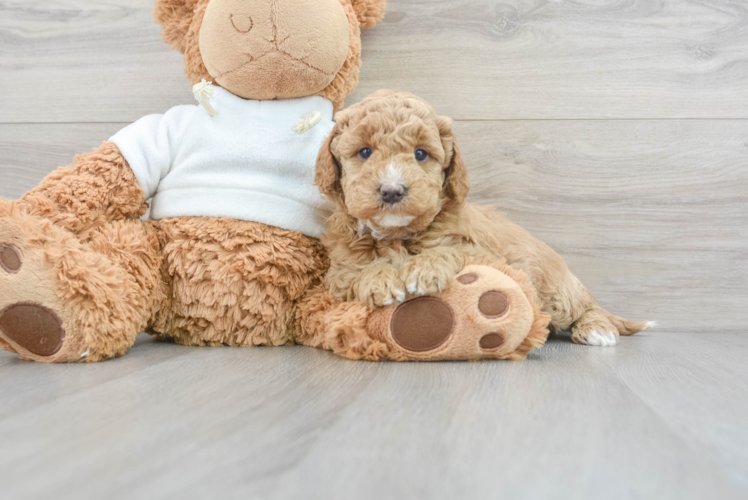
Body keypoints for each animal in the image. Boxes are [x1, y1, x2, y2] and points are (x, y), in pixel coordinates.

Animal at [312, 90, 652, 346]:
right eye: (364, 152)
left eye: (421, 154)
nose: (392, 191)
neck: (397, 235)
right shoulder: (339, 270)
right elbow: (356, 272)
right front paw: (379, 280)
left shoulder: (483, 253)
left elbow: (451, 251)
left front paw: (423, 268)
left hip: (557, 293)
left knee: (589, 307)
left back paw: (597, 329)